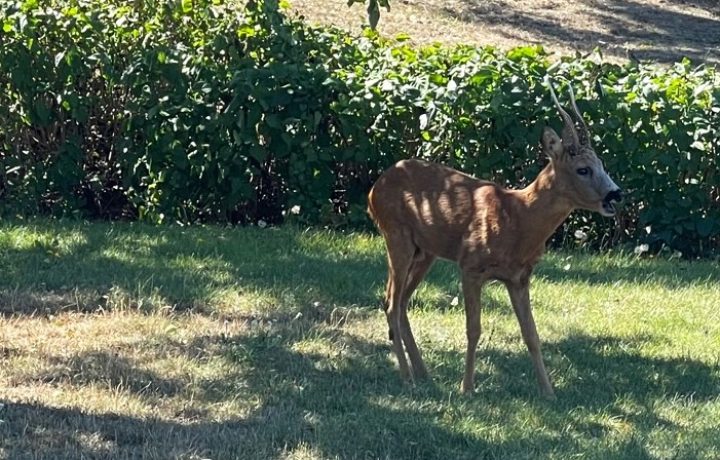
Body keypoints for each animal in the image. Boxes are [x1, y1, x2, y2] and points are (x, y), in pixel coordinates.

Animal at [368, 79, 620, 398]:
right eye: (582, 169)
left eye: (602, 164)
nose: (615, 194)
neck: (518, 220)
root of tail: (374, 189)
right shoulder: (470, 266)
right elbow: (473, 329)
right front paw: (466, 388)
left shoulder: (520, 277)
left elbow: (532, 333)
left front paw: (548, 392)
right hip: (395, 234)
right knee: (390, 302)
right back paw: (408, 378)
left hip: (425, 251)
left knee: (400, 302)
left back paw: (424, 375)